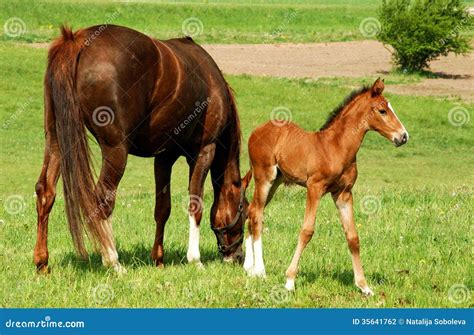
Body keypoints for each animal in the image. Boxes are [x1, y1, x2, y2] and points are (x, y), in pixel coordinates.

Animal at [244, 79, 408, 296]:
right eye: (382, 110)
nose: (403, 136)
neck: (336, 148)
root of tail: (256, 131)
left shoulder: (344, 193)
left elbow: (353, 237)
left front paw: (364, 286)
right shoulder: (314, 188)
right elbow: (307, 231)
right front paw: (289, 281)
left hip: (275, 182)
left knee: (251, 210)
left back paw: (249, 268)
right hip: (264, 178)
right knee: (257, 215)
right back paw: (260, 271)